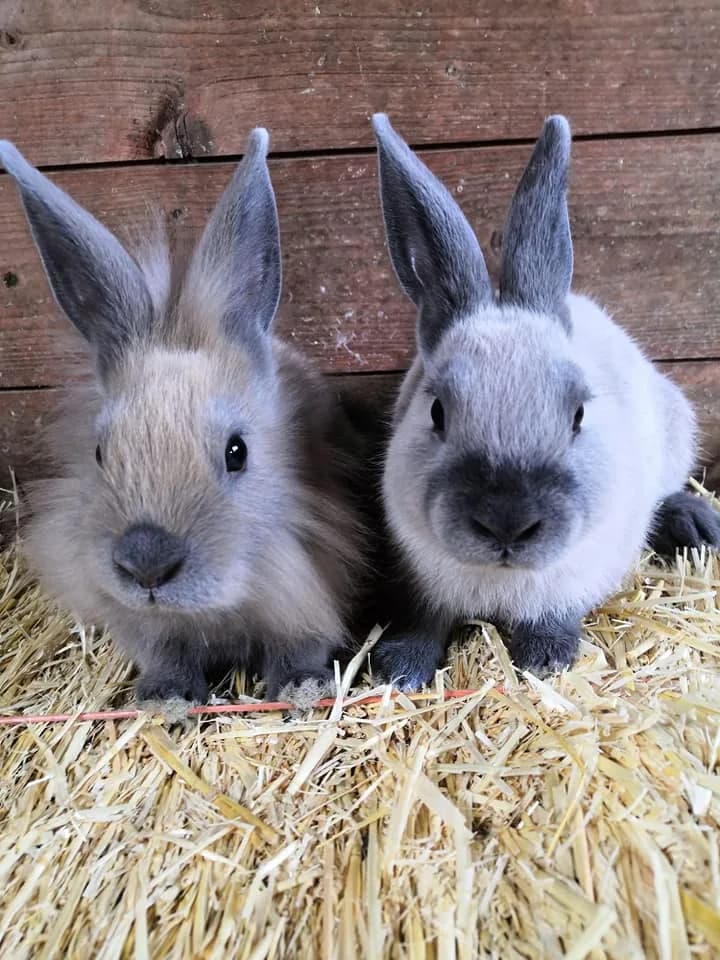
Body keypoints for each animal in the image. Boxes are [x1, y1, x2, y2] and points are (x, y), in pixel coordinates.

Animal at [0, 129, 366, 705]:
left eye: (237, 452)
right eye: (100, 452)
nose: (147, 564)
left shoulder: (306, 588)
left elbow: (299, 648)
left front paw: (303, 689)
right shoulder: (146, 625)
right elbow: (166, 654)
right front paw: (167, 698)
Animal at [368, 113, 720, 690]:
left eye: (579, 414)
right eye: (437, 411)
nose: (507, 524)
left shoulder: (579, 573)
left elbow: (553, 615)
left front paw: (544, 658)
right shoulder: (422, 578)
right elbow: (426, 618)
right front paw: (401, 668)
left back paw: (697, 525)